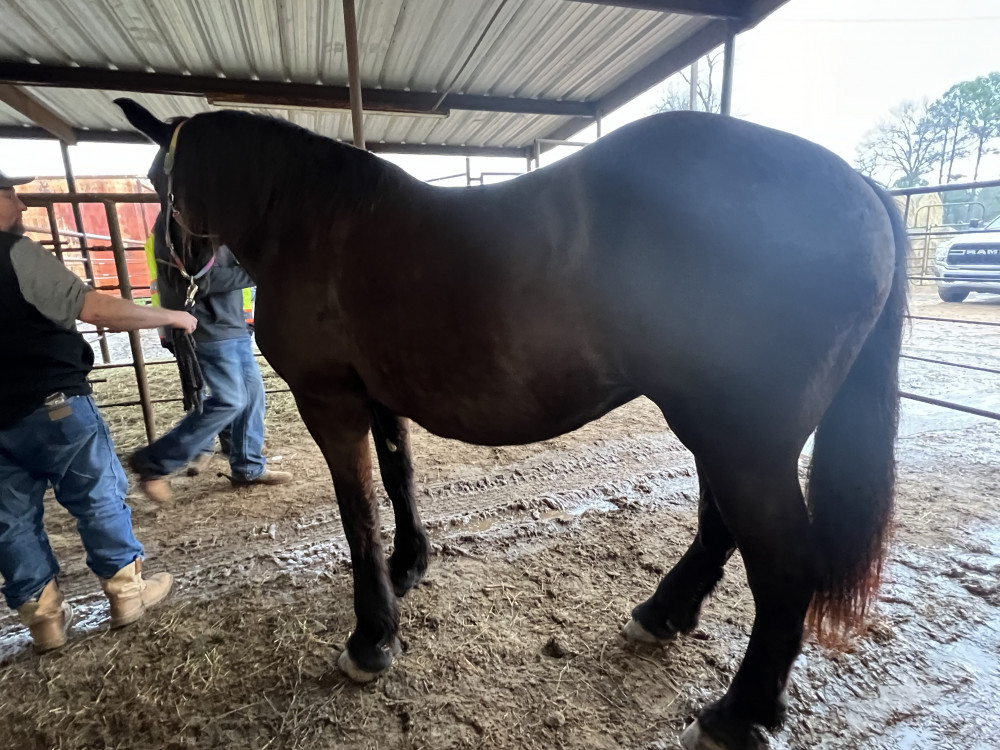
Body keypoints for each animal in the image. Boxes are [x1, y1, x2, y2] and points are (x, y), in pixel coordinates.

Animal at [115, 98, 907, 750]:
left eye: (158, 181)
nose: (170, 302)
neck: (313, 219)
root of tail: (860, 186)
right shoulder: (378, 393)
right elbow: (398, 476)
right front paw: (409, 567)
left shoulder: (328, 399)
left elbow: (357, 511)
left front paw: (371, 638)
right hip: (722, 431)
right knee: (721, 527)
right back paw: (665, 613)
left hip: (742, 440)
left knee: (785, 564)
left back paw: (737, 716)